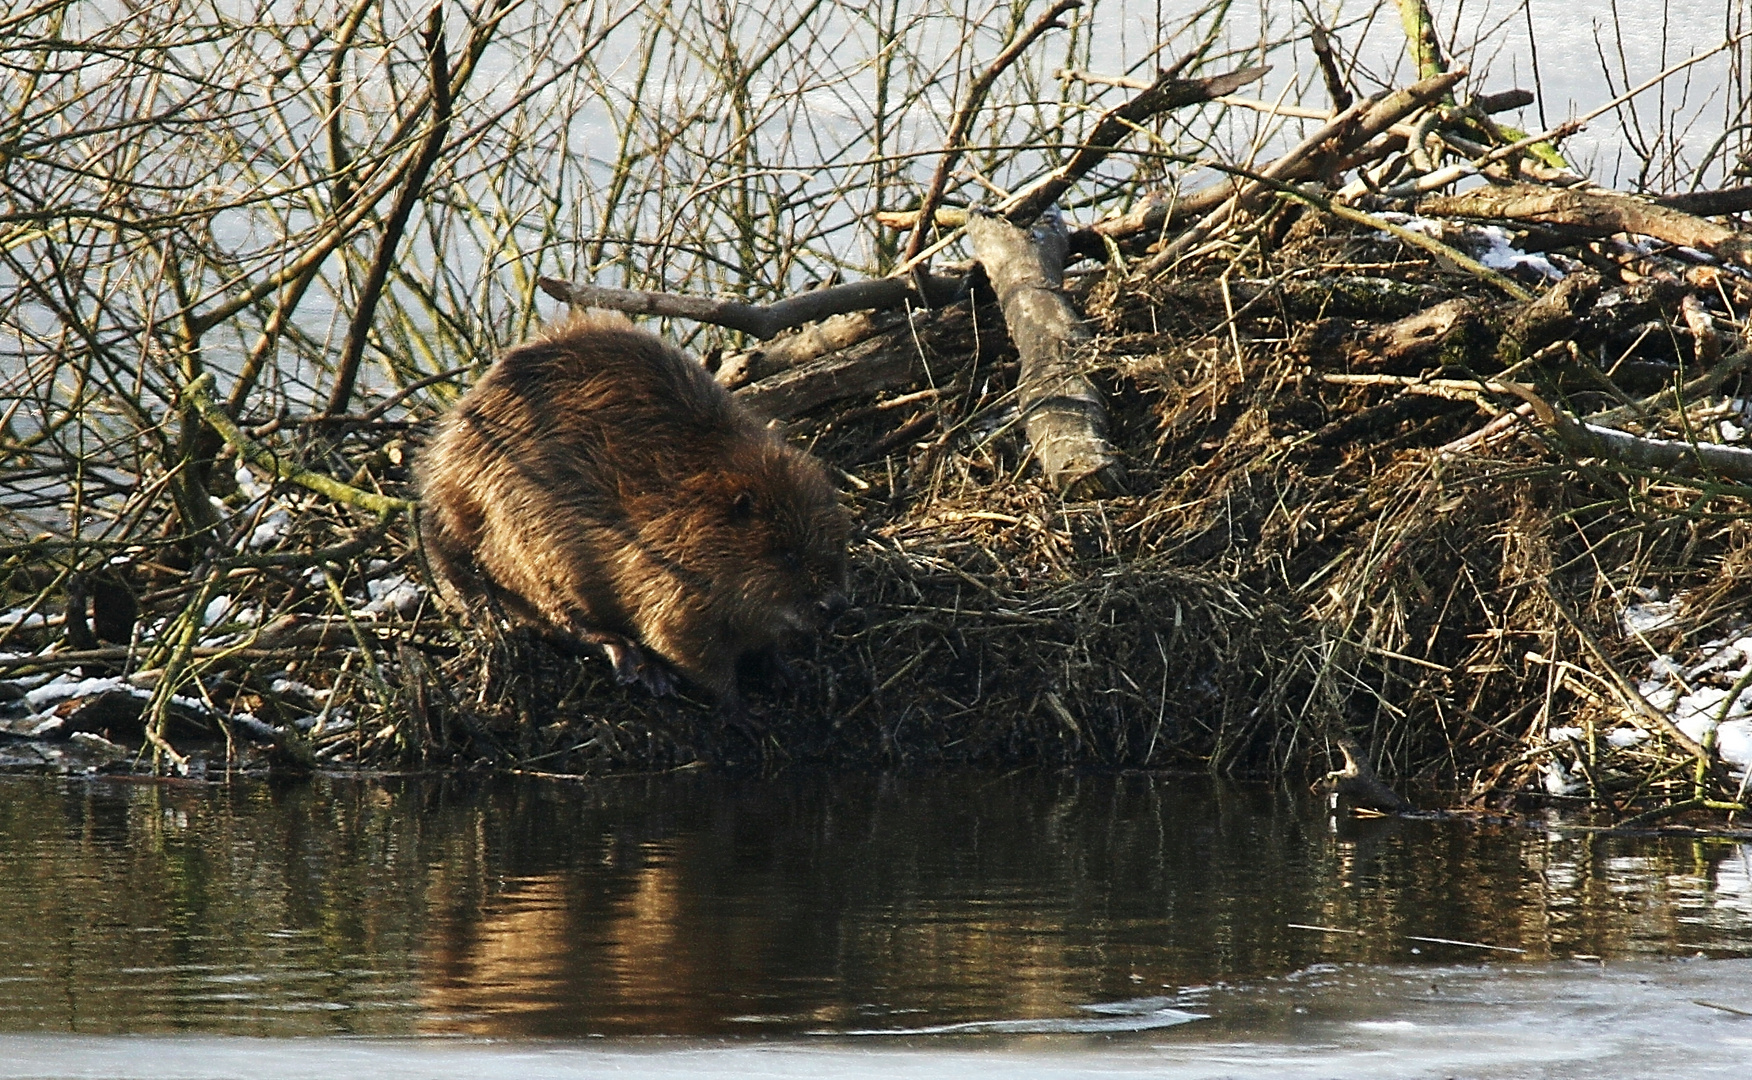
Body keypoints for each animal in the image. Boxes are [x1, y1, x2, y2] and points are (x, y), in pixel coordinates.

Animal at [411, 312, 847, 701]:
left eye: (837, 544)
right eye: (787, 555)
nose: (834, 605)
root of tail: (440, 501)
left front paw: (785, 672)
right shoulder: (660, 575)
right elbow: (687, 652)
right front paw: (739, 709)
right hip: (519, 542)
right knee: (561, 618)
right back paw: (634, 662)